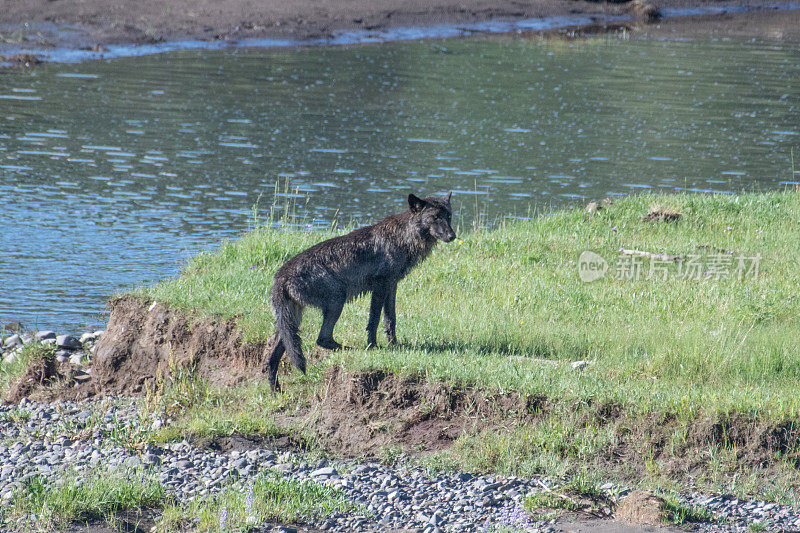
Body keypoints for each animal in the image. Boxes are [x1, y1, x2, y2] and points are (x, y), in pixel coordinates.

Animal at [268, 193, 456, 392]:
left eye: (448, 216)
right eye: (435, 217)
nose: (452, 236)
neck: (404, 236)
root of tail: (280, 277)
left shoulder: (392, 285)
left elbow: (391, 320)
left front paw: (395, 345)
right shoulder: (380, 285)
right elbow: (374, 320)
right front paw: (372, 346)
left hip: (292, 323)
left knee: (273, 359)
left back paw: (275, 392)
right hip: (337, 300)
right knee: (322, 339)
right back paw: (353, 350)